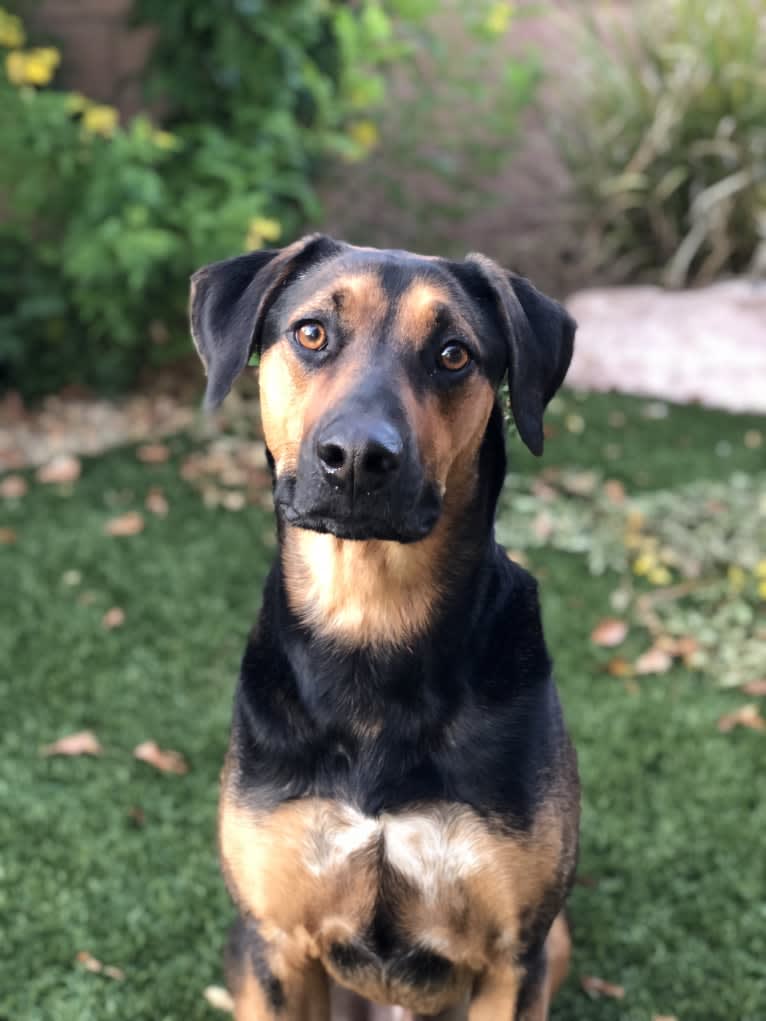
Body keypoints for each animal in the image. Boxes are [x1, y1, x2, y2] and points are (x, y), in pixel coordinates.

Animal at [188, 234, 580, 1016]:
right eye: (312, 332)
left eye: (454, 353)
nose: (358, 457)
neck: (372, 625)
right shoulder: (277, 943)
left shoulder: (514, 957)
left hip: (559, 940)